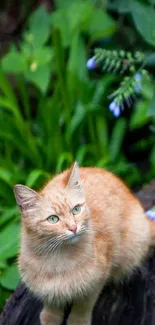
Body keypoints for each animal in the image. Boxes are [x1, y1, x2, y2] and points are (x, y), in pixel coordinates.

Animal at [13, 162, 155, 324]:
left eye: (76, 209)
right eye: (53, 219)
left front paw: (77, 320)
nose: (73, 227)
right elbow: (51, 303)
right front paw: (50, 317)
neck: (58, 258)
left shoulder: (96, 282)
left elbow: (83, 305)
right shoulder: (46, 288)